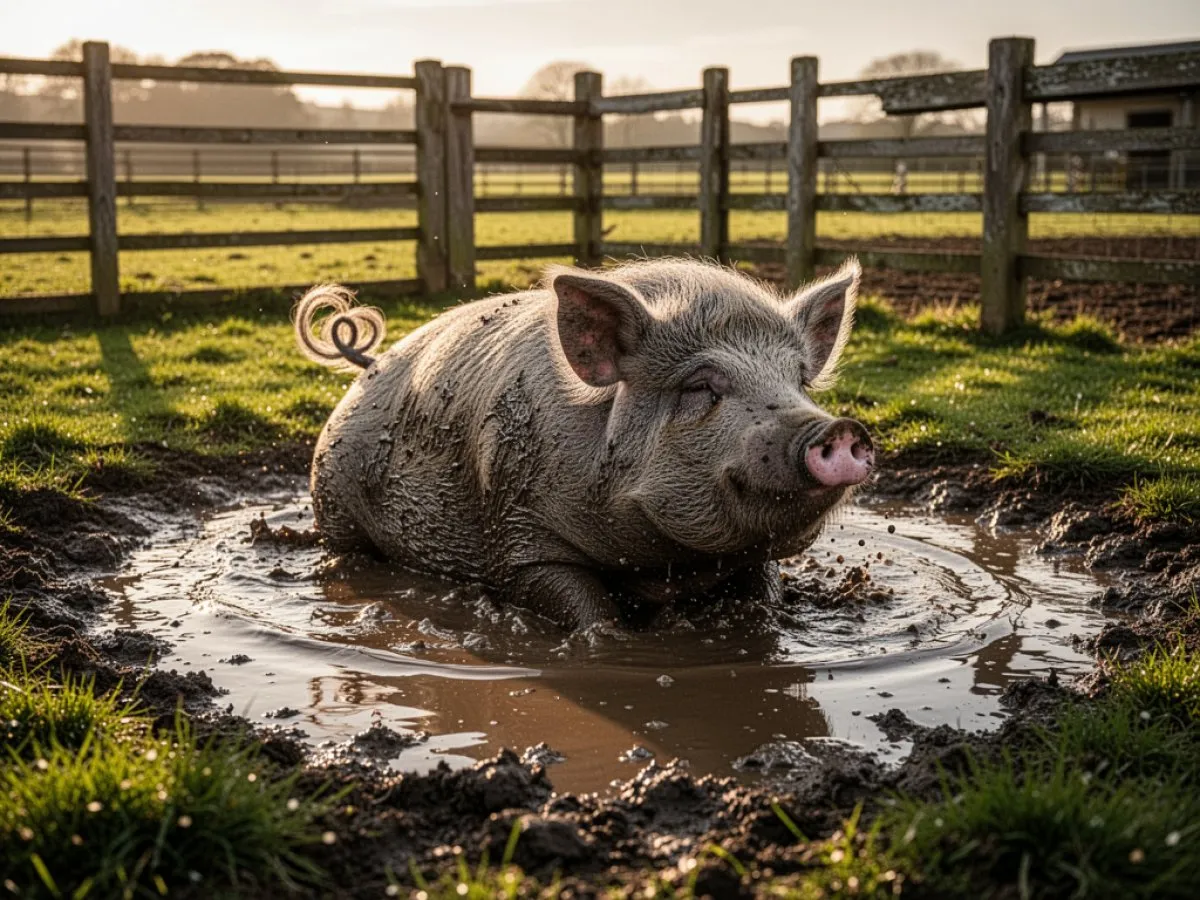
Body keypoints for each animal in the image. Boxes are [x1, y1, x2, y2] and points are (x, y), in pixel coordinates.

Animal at [293, 258, 873, 630]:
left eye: (798, 380)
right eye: (701, 386)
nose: (839, 428)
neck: (663, 566)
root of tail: (370, 365)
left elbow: (765, 595)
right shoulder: (519, 538)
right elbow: (587, 611)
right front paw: (609, 639)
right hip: (333, 505)